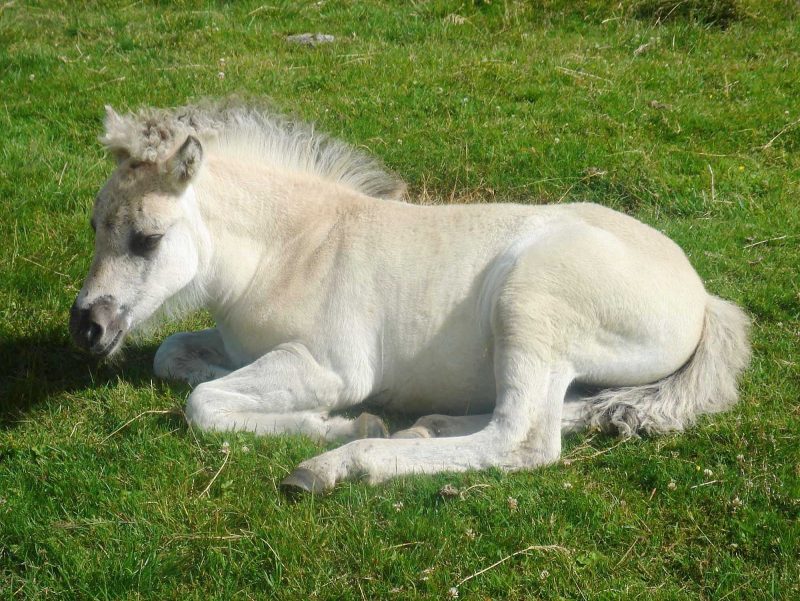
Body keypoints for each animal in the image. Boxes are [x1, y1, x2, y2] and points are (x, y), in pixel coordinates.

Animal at [69, 100, 751, 494]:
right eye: (96, 224)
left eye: (147, 238)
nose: (86, 328)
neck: (291, 249)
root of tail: (700, 296)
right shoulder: (237, 343)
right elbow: (175, 359)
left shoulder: (332, 367)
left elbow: (204, 405)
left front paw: (332, 424)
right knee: (575, 408)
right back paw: (425, 427)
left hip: (529, 303)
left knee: (522, 438)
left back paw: (346, 462)